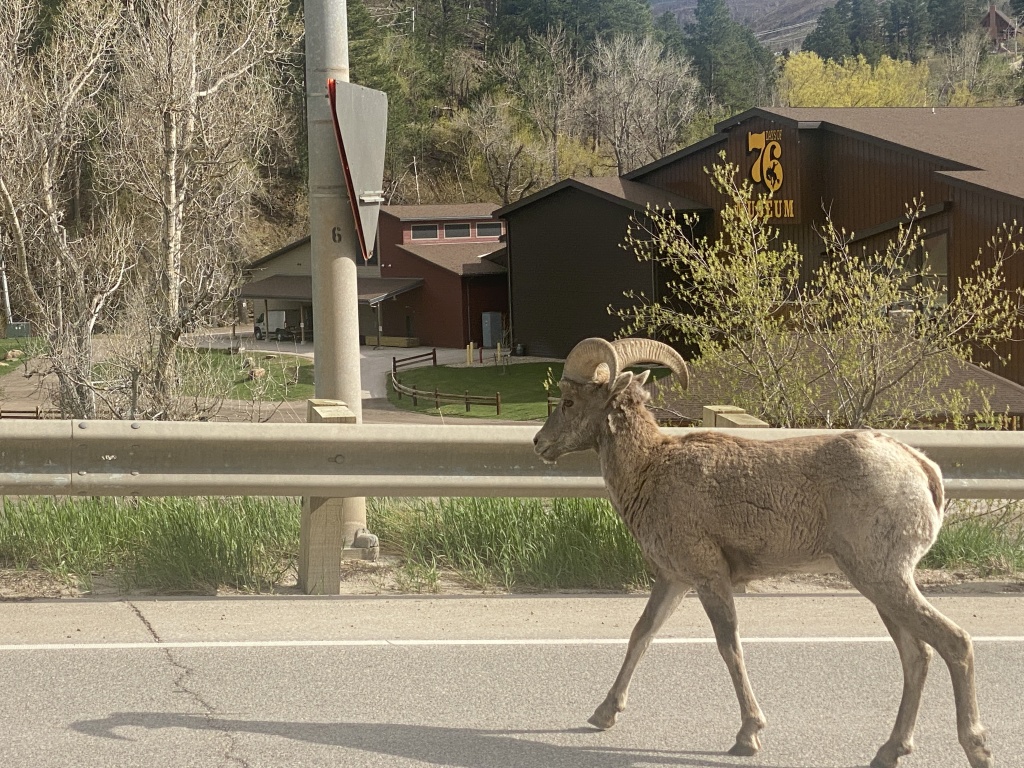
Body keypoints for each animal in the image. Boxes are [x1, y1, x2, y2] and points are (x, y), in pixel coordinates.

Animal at [532, 336, 992, 768]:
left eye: (569, 401)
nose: (539, 443)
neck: (651, 469)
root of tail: (922, 468)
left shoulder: (709, 578)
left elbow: (729, 647)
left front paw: (748, 736)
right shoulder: (674, 580)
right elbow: (641, 634)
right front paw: (602, 715)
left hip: (883, 579)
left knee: (954, 642)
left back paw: (977, 749)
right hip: (881, 586)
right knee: (917, 656)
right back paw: (889, 751)